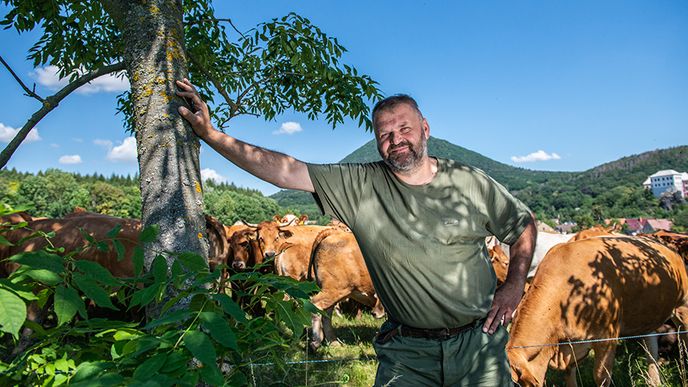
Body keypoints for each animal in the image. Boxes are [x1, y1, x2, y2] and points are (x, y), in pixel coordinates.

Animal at [506, 236, 688, 387]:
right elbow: (569, 374)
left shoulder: (606, 337)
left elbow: (601, 377)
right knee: (651, 345)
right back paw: (654, 381)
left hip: (683, 307)